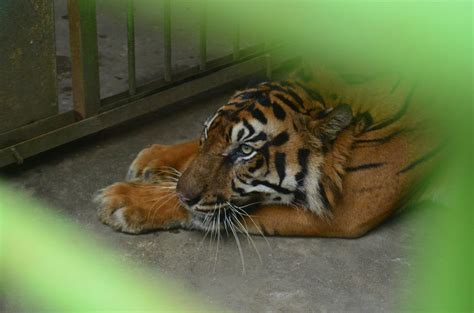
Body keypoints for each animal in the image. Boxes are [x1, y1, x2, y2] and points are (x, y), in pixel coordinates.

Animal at [95, 66, 440, 236]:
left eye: (246, 150)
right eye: (206, 135)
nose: (184, 193)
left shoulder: (351, 207)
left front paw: (125, 199)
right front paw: (153, 160)